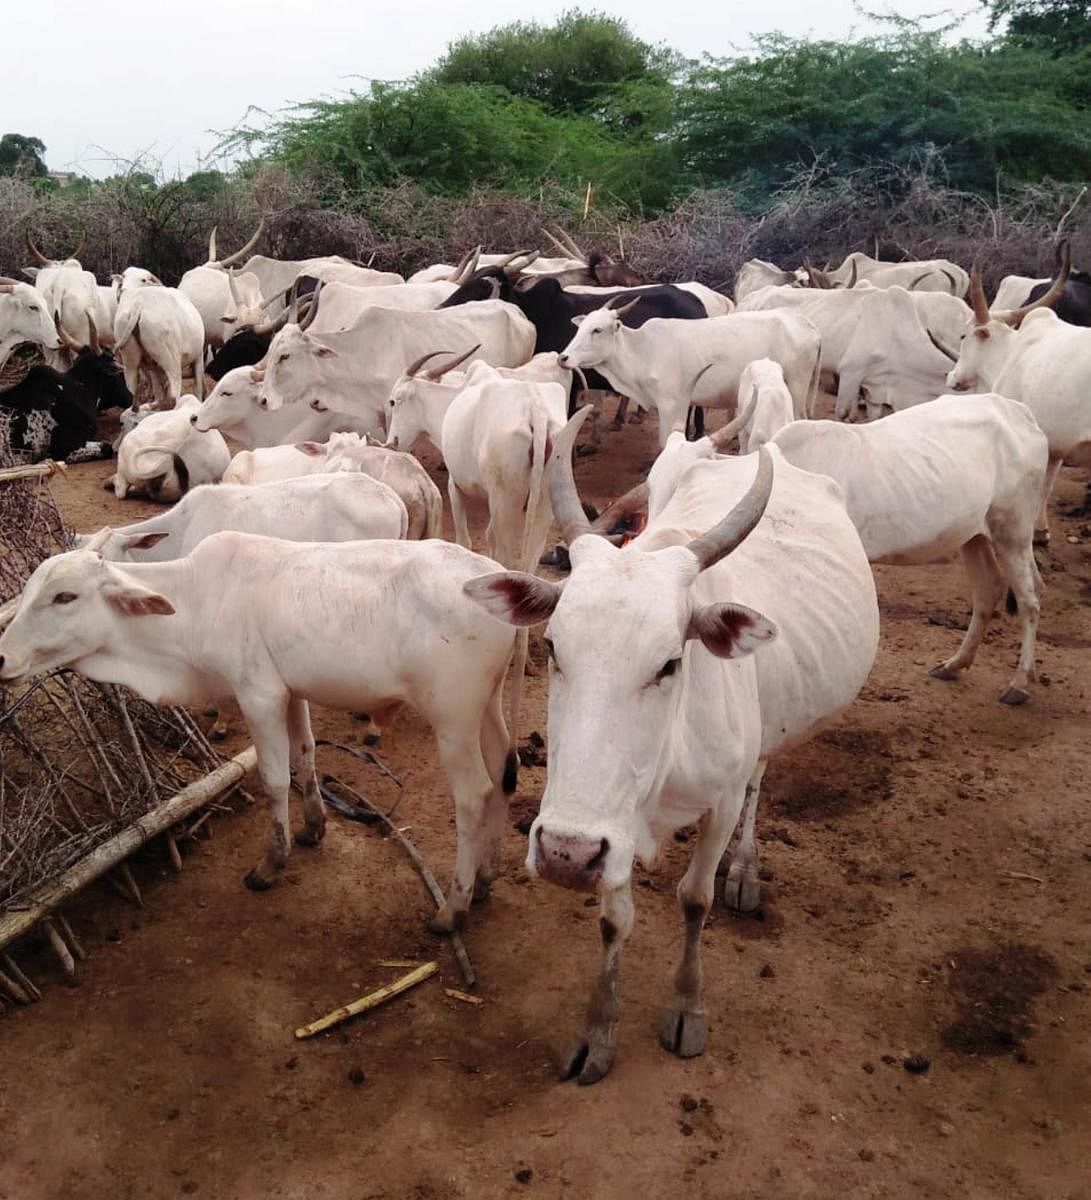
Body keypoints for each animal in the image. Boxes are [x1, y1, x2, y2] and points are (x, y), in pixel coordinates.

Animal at [0, 530, 523, 931]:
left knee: (474, 795)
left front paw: (272, 864)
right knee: (504, 772)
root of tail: (494, 578)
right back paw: (485, 878)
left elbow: (273, 781)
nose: (2, 657)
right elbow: (305, 754)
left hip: (452, 719)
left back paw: (453, 906)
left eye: (64, 596)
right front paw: (313, 827)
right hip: (488, 707)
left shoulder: (258, 694)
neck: (195, 602)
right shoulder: (291, 691)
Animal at [460, 417, 878, 1084]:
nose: (563, 855)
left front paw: (687, 1006)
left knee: (760, 775)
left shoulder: (720, 802)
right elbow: (614, 920)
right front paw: (598, 1030)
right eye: (552, 647)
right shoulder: (612, 826)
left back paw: (745, 869)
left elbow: (694, 900)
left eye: (670, 663)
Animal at [556, 297, 820, 448]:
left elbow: (665, 443)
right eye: (581, 327)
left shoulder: (671, 404)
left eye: (597, 330)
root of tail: (806, 324)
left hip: (797, 386)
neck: (644, 350)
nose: (563, 358)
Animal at [940, 253, 1084, 544]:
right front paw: (1042, 531)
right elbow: (1048, 484)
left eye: (963, 336)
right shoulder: (1056, 445)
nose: (951, 377)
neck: (1009, 354)